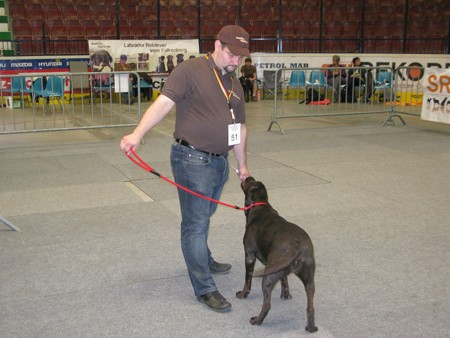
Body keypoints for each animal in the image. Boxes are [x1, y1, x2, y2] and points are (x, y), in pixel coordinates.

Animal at [237, 177, 318, 332]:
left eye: (251, 182)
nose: (248, 177)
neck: (260, 205)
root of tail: (296, 246)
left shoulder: (249, 256)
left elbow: (247, 279)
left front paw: (243, 294)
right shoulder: (281, 269)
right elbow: (284, 280)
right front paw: (286, 295)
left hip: (267, 277)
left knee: (267, 305)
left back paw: (257, 320)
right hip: (309, 281)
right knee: (310, 307)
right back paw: (311, 328)